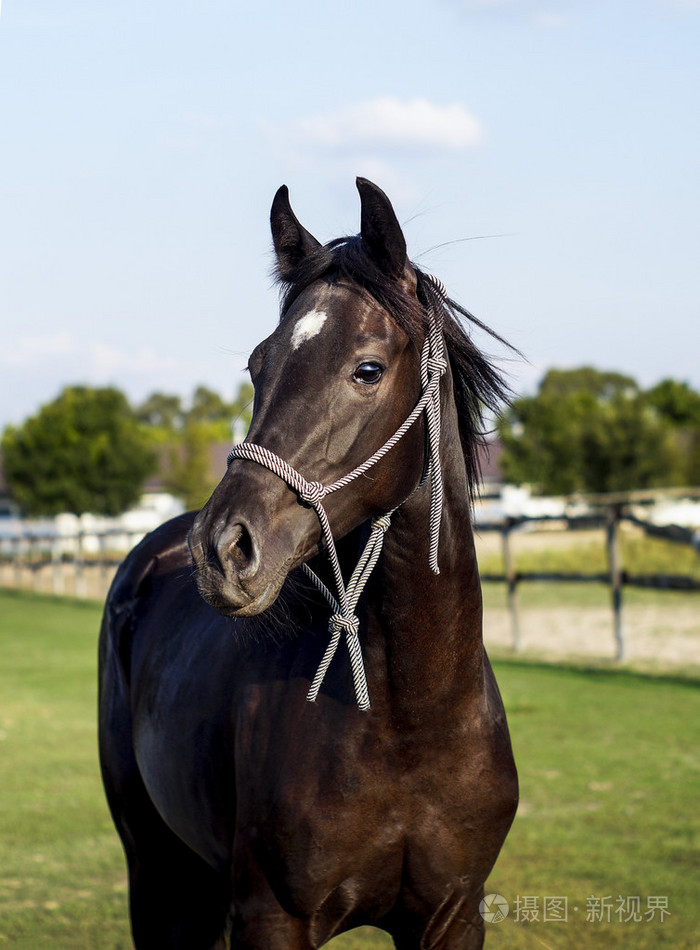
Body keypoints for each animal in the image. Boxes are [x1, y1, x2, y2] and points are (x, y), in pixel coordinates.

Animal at [98, 180, 516, 950]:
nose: (222, 548)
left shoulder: (453, 917)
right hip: (155, 867)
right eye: (257, 366)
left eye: (367, 369)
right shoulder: (271, 917)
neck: (413, 724)